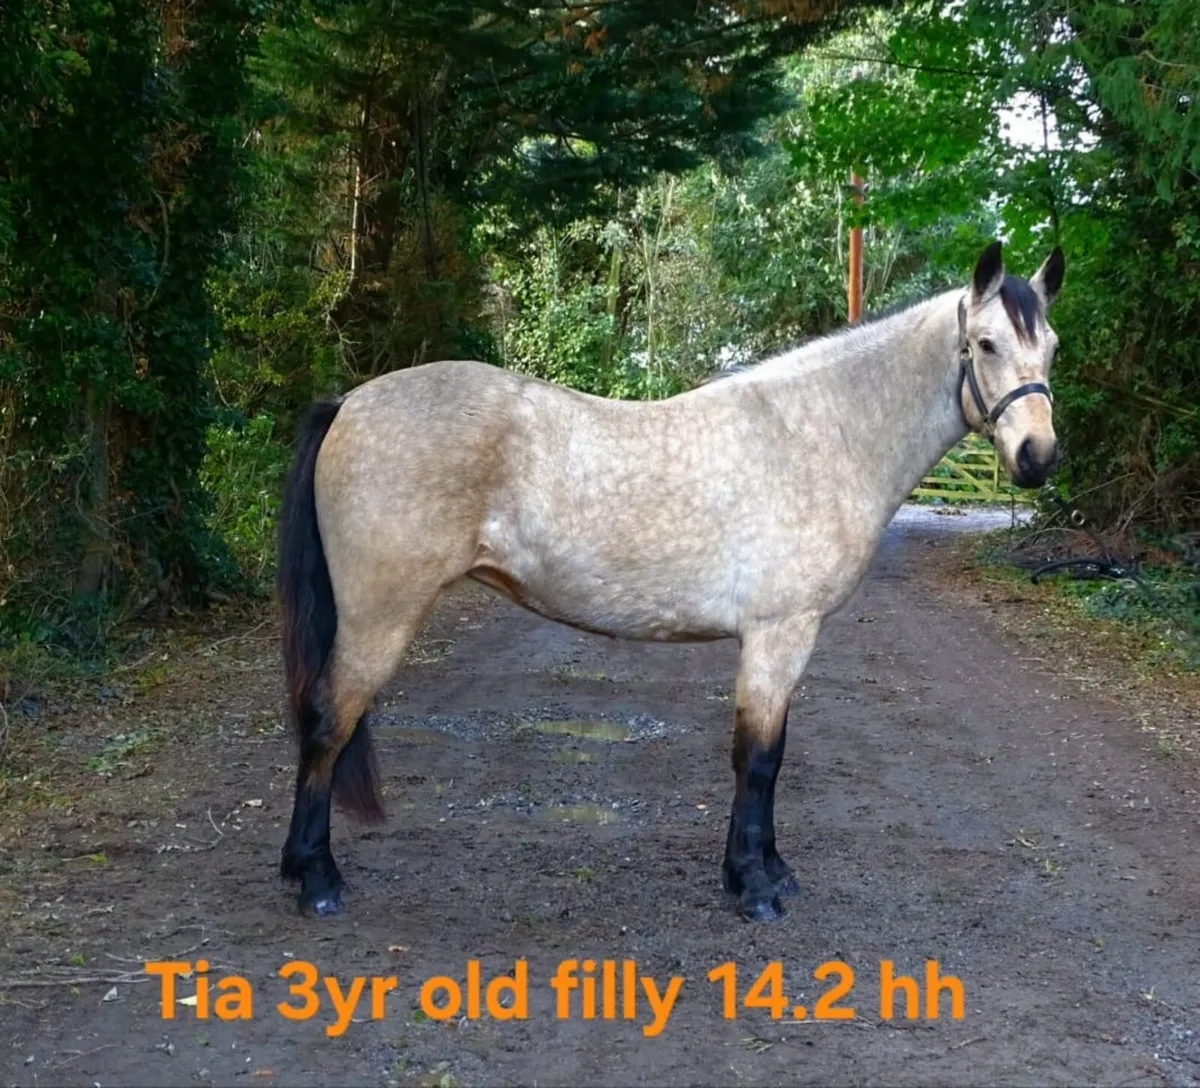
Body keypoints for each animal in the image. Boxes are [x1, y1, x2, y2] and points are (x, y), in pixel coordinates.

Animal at [277, 239, 1065, 923]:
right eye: (985, 344)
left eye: (1051, 348)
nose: (1038, 457)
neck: (818, 436)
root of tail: (348, 403)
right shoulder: (779, 634)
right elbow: (758, 760)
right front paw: (754, 888)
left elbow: (769, 757)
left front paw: (767, 871)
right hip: (379, 617)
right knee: (327, 721)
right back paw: (315, 880)